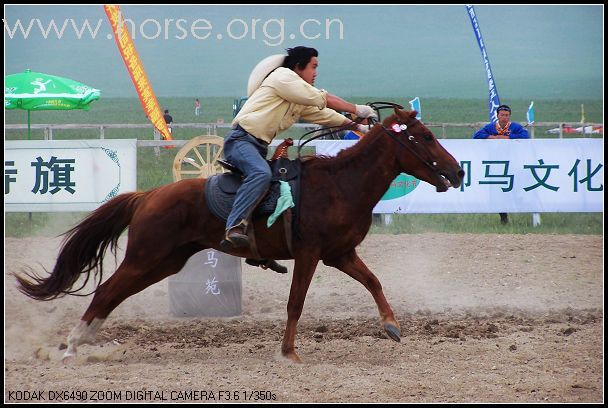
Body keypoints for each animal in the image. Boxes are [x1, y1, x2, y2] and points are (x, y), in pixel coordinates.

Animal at [16, 107, 466, 362]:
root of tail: (148, 195)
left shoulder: (340, 254)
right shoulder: (309, 254)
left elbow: (373, 281)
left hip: (163, 263)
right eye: (426, 137)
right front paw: (288, 353)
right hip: (145, 256)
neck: (341, 184)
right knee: (107, 291)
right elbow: (296, 304)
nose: (459, 171)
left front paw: (391, 325)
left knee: (113, 294)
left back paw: (84, 341)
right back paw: (72, 346)